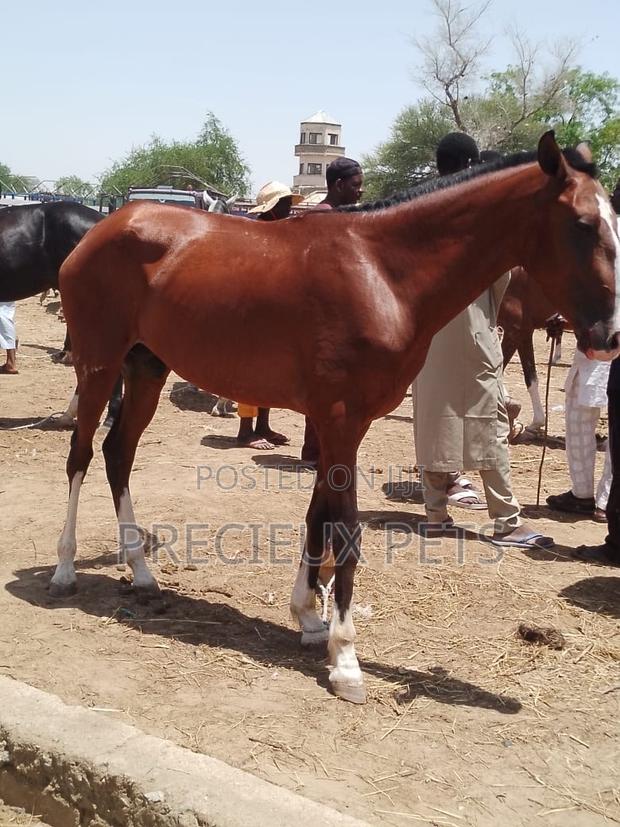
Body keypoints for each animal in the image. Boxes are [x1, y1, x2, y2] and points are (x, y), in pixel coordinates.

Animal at [51, 133, 620, 704]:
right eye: (582, 224)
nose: (609, 337)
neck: (384, 272)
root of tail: (105, 226)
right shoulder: (342, 420)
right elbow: (345, 529)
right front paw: (345, 658)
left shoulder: (340, 423)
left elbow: (317, 515)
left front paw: (308, 617)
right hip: (99, 367)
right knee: (80, 455)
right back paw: (64, 569)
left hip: (146, 367)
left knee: (118, 453)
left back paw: (142, 571)